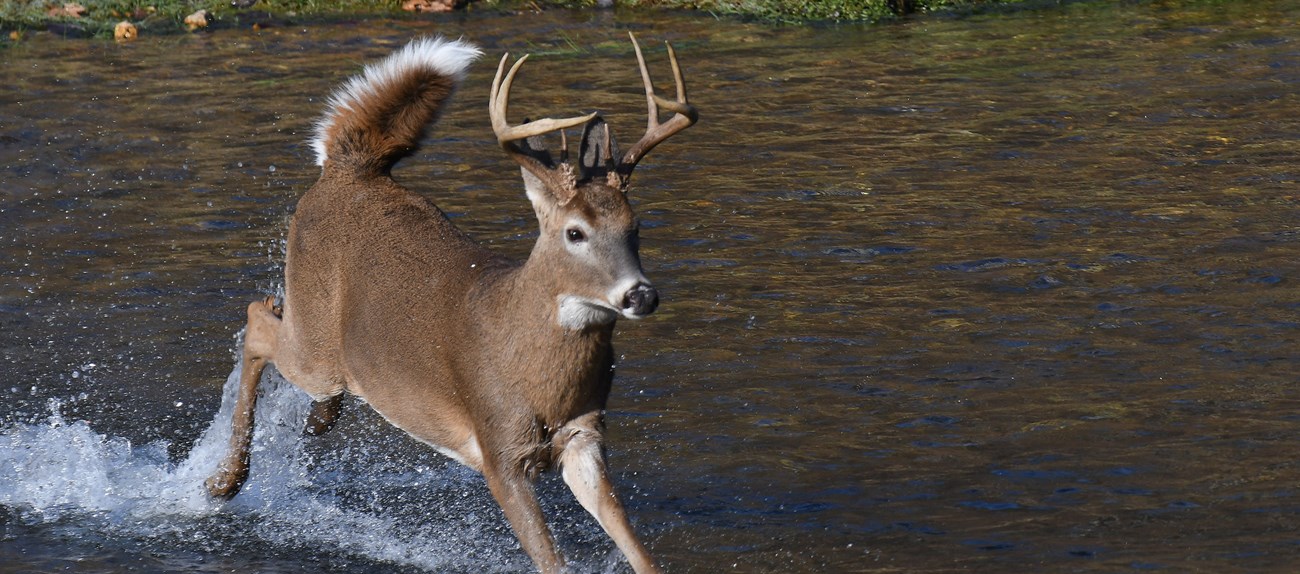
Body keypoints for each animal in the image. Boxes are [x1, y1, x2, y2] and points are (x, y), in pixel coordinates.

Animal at [197, 32, 696, 574]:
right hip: (315, 347)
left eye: (636, 227)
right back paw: (223, 483)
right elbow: (550, 560)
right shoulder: (499, 447)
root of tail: (348, 169)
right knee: (258, 320)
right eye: (575, 232)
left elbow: (635, 547)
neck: (537, 373)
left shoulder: (584, 435)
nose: (640, 294)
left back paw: (315, 422)